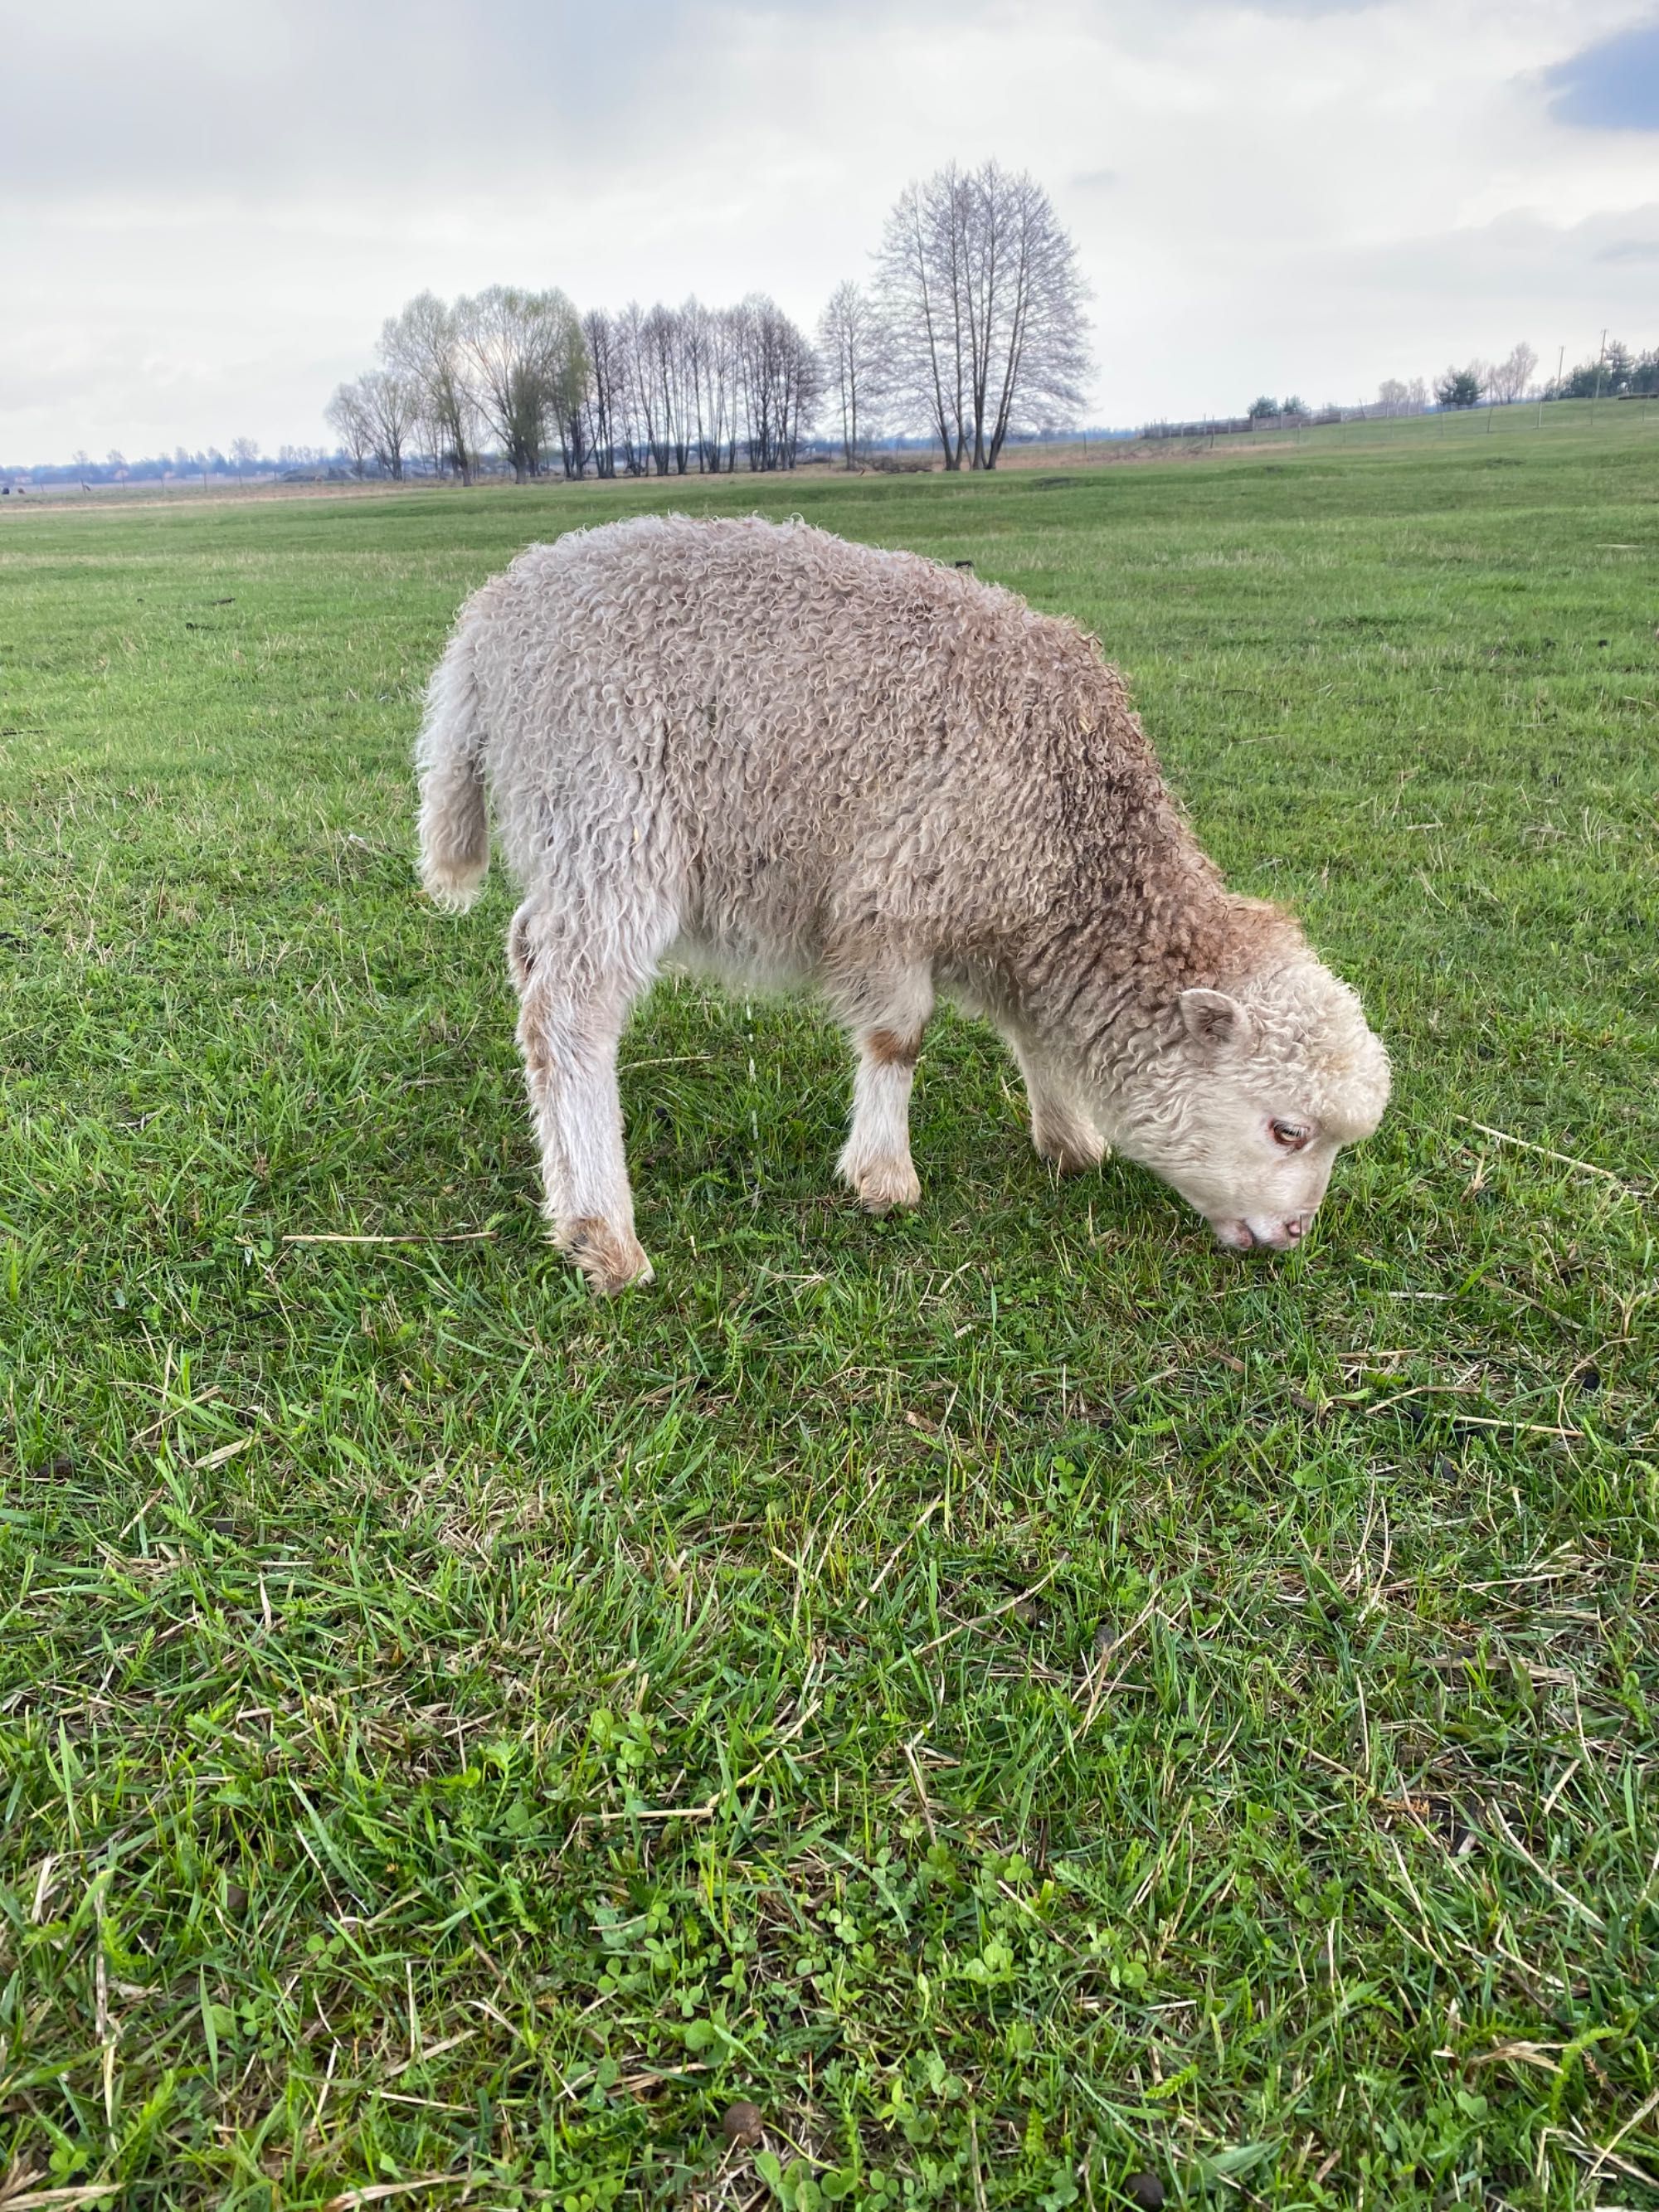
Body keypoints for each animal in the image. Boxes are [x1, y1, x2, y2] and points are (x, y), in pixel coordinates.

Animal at [418, 508, 1389, 1291]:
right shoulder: (898, 892)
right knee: (572, 1013)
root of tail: (490, 621)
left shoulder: (998, 916)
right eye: (1286, 1131)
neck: (1072, 825)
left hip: (567, 834)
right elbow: (898, 1038)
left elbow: (1030, 1030)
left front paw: (1066, 1137)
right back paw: (604, 1232)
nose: (1292, 1234)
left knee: (530, 956)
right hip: (610, 813)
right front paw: (884, 1177)